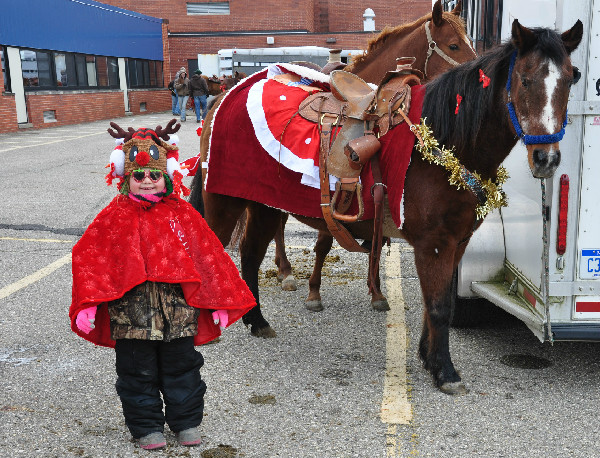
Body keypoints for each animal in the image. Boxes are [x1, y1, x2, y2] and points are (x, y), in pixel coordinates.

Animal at [274, 0, 478, 312]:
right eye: (454, 45)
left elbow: (376, 241)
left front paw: (377, 292)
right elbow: (323, 243)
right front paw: (314, 292)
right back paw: (285, 271)